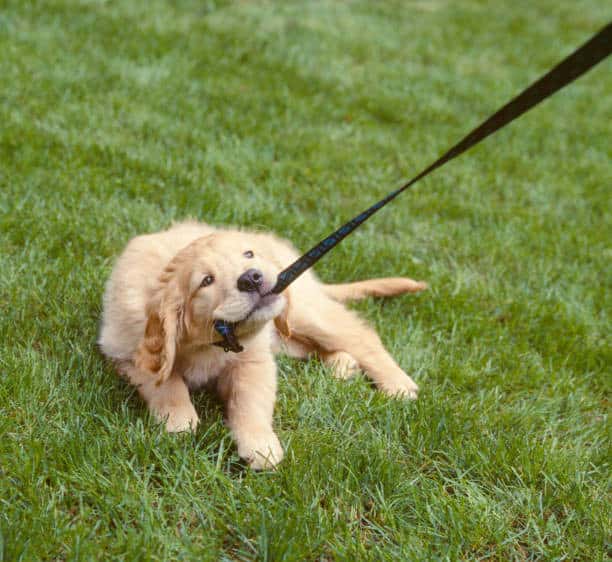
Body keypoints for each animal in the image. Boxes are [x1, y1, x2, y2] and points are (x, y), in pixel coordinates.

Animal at [99, 221, 426, 466]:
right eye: (206, 281)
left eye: (248, 254)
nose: (252, 277)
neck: (210, 343)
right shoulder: (127, 354)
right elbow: (166, 383)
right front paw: (179, 421)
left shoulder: (253, 359)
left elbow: (250, 401)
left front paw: (260, 446)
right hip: (285, 333)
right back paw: (341, 364)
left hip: (303, 311)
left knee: (361, 335)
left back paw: (397, 384)